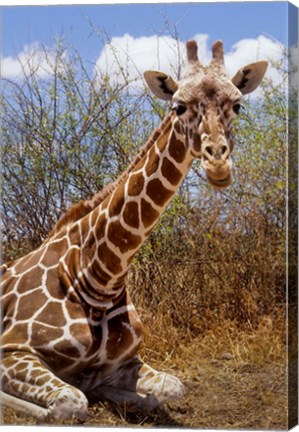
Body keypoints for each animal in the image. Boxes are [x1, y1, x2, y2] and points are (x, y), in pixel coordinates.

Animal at [0, 40, 268, 422]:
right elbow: (68, 404)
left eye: (237, 105)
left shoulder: (126, 360)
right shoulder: (13, 349)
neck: (96, 275)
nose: (218, 163)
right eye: (178, 106)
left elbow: (172, 387)